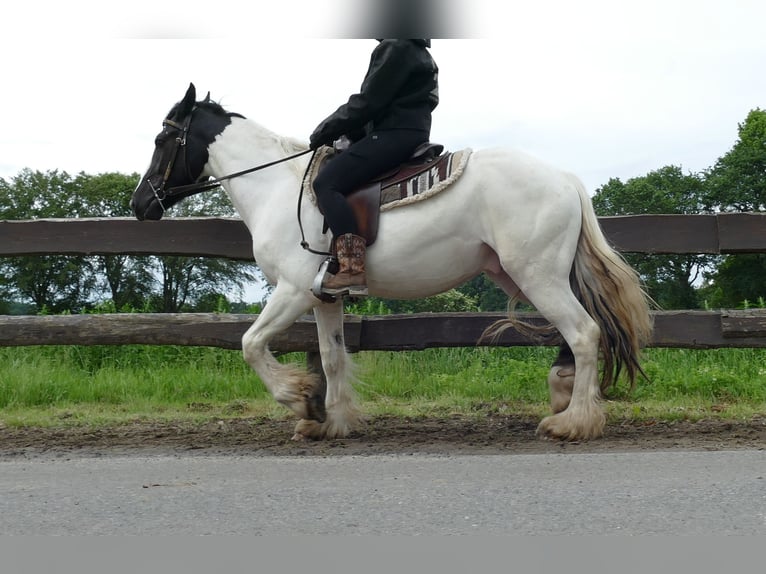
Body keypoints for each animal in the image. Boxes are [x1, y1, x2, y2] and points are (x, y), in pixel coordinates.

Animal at [131, 83, 653, 442]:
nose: (140, 205)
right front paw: (330, 421)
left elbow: (251, 343)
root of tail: (564, 177)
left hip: (537, 275)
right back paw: (565, 394)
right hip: (523, 275)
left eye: (160, 139)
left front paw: (299, 399)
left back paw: (574, 422)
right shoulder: (324, 297)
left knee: (584, 333)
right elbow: (332, 357)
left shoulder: (293, 290)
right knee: (579, 331)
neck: (278, 186)